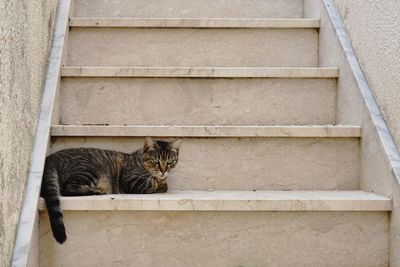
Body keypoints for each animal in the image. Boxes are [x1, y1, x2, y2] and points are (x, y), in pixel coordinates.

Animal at [40, 138, 181, 245]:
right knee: (67, 188)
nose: (163, 171)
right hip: (89, 170)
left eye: (170, 162)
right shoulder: (132, 181)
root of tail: (51, 158)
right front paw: (160, 183)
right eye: (155, 161)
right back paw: (96, 190)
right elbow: (155, 183)